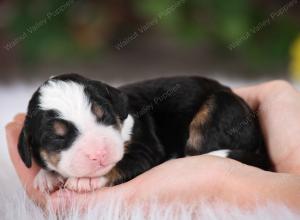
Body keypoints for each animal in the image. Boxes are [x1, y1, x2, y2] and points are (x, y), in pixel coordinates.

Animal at [4, 80, 300, 211]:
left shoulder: (146, 148)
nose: (99, 154)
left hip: (218, 110)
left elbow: (123, 164)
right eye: (57, 137)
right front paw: (46, 177)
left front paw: (87, 181)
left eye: (104, 115)